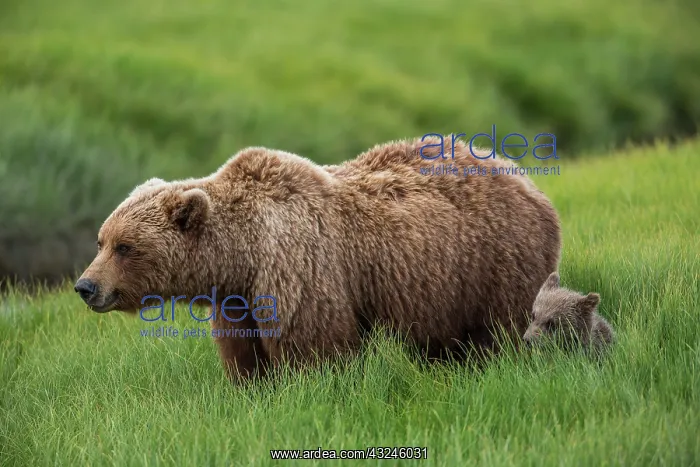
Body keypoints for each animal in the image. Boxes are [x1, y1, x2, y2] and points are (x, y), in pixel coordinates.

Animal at [74, 135, 562, 380]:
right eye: (101, 241)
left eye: (125, 247)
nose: (85, 286)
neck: (241, 253)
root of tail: (520, 175)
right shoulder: (238, 297)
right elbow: (243, 352)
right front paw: (253, 387)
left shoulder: (297, 265)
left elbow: (313, 342)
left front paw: (312, 385)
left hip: (495, 259)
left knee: (498, 328)